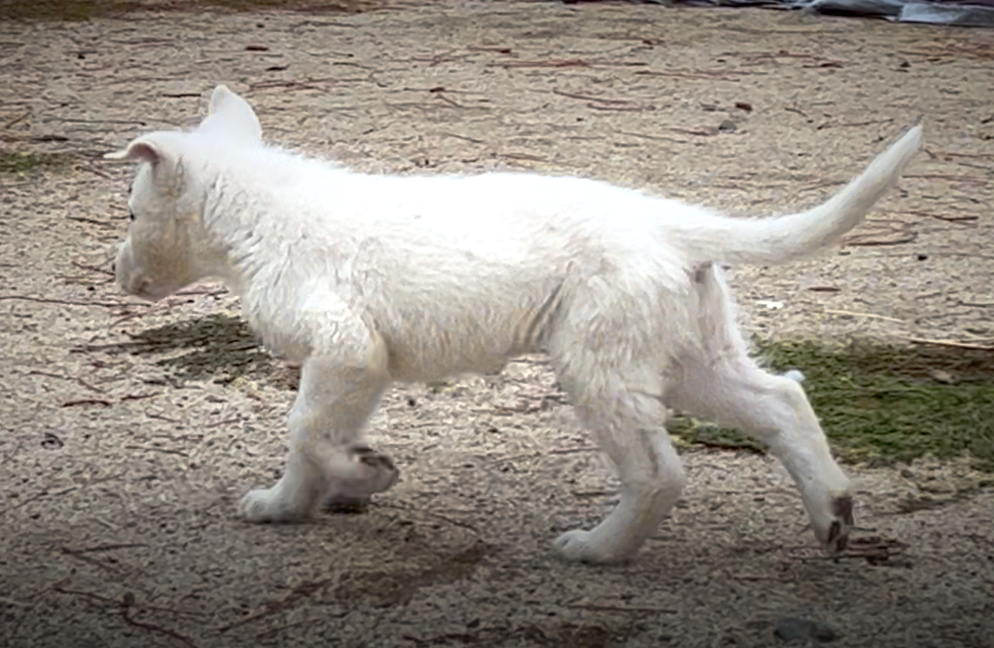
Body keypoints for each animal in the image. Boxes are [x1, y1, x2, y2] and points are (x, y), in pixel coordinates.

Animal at [104, 85, 920, 560]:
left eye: (133, 214)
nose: (116, 273)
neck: (262, 215)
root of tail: (673, 223)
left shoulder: (344, 350)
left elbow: (305, 430)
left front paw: (365, 473)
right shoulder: (357, 368)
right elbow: (311, 438)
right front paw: (286, 505)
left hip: (601, 365)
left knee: (659, 472)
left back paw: (599, 549)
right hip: (690, 356)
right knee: (782, 401)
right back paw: (834, 513)